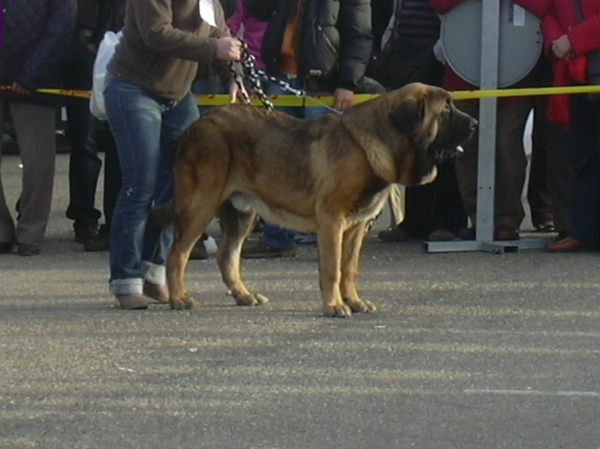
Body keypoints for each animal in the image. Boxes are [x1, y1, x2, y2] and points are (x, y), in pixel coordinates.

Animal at [162, 83, 476, 316]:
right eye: (445, 109)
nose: (474, 123)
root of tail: (200, 123)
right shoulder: (332, 220)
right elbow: (332, 268)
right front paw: (334, 306)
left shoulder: (356, 226)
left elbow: (349, 268)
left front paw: (354, 302)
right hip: (200, 205)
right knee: (177, 254)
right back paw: (179, 299)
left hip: (242, 213)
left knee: (227, 257)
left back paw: (244, 295)